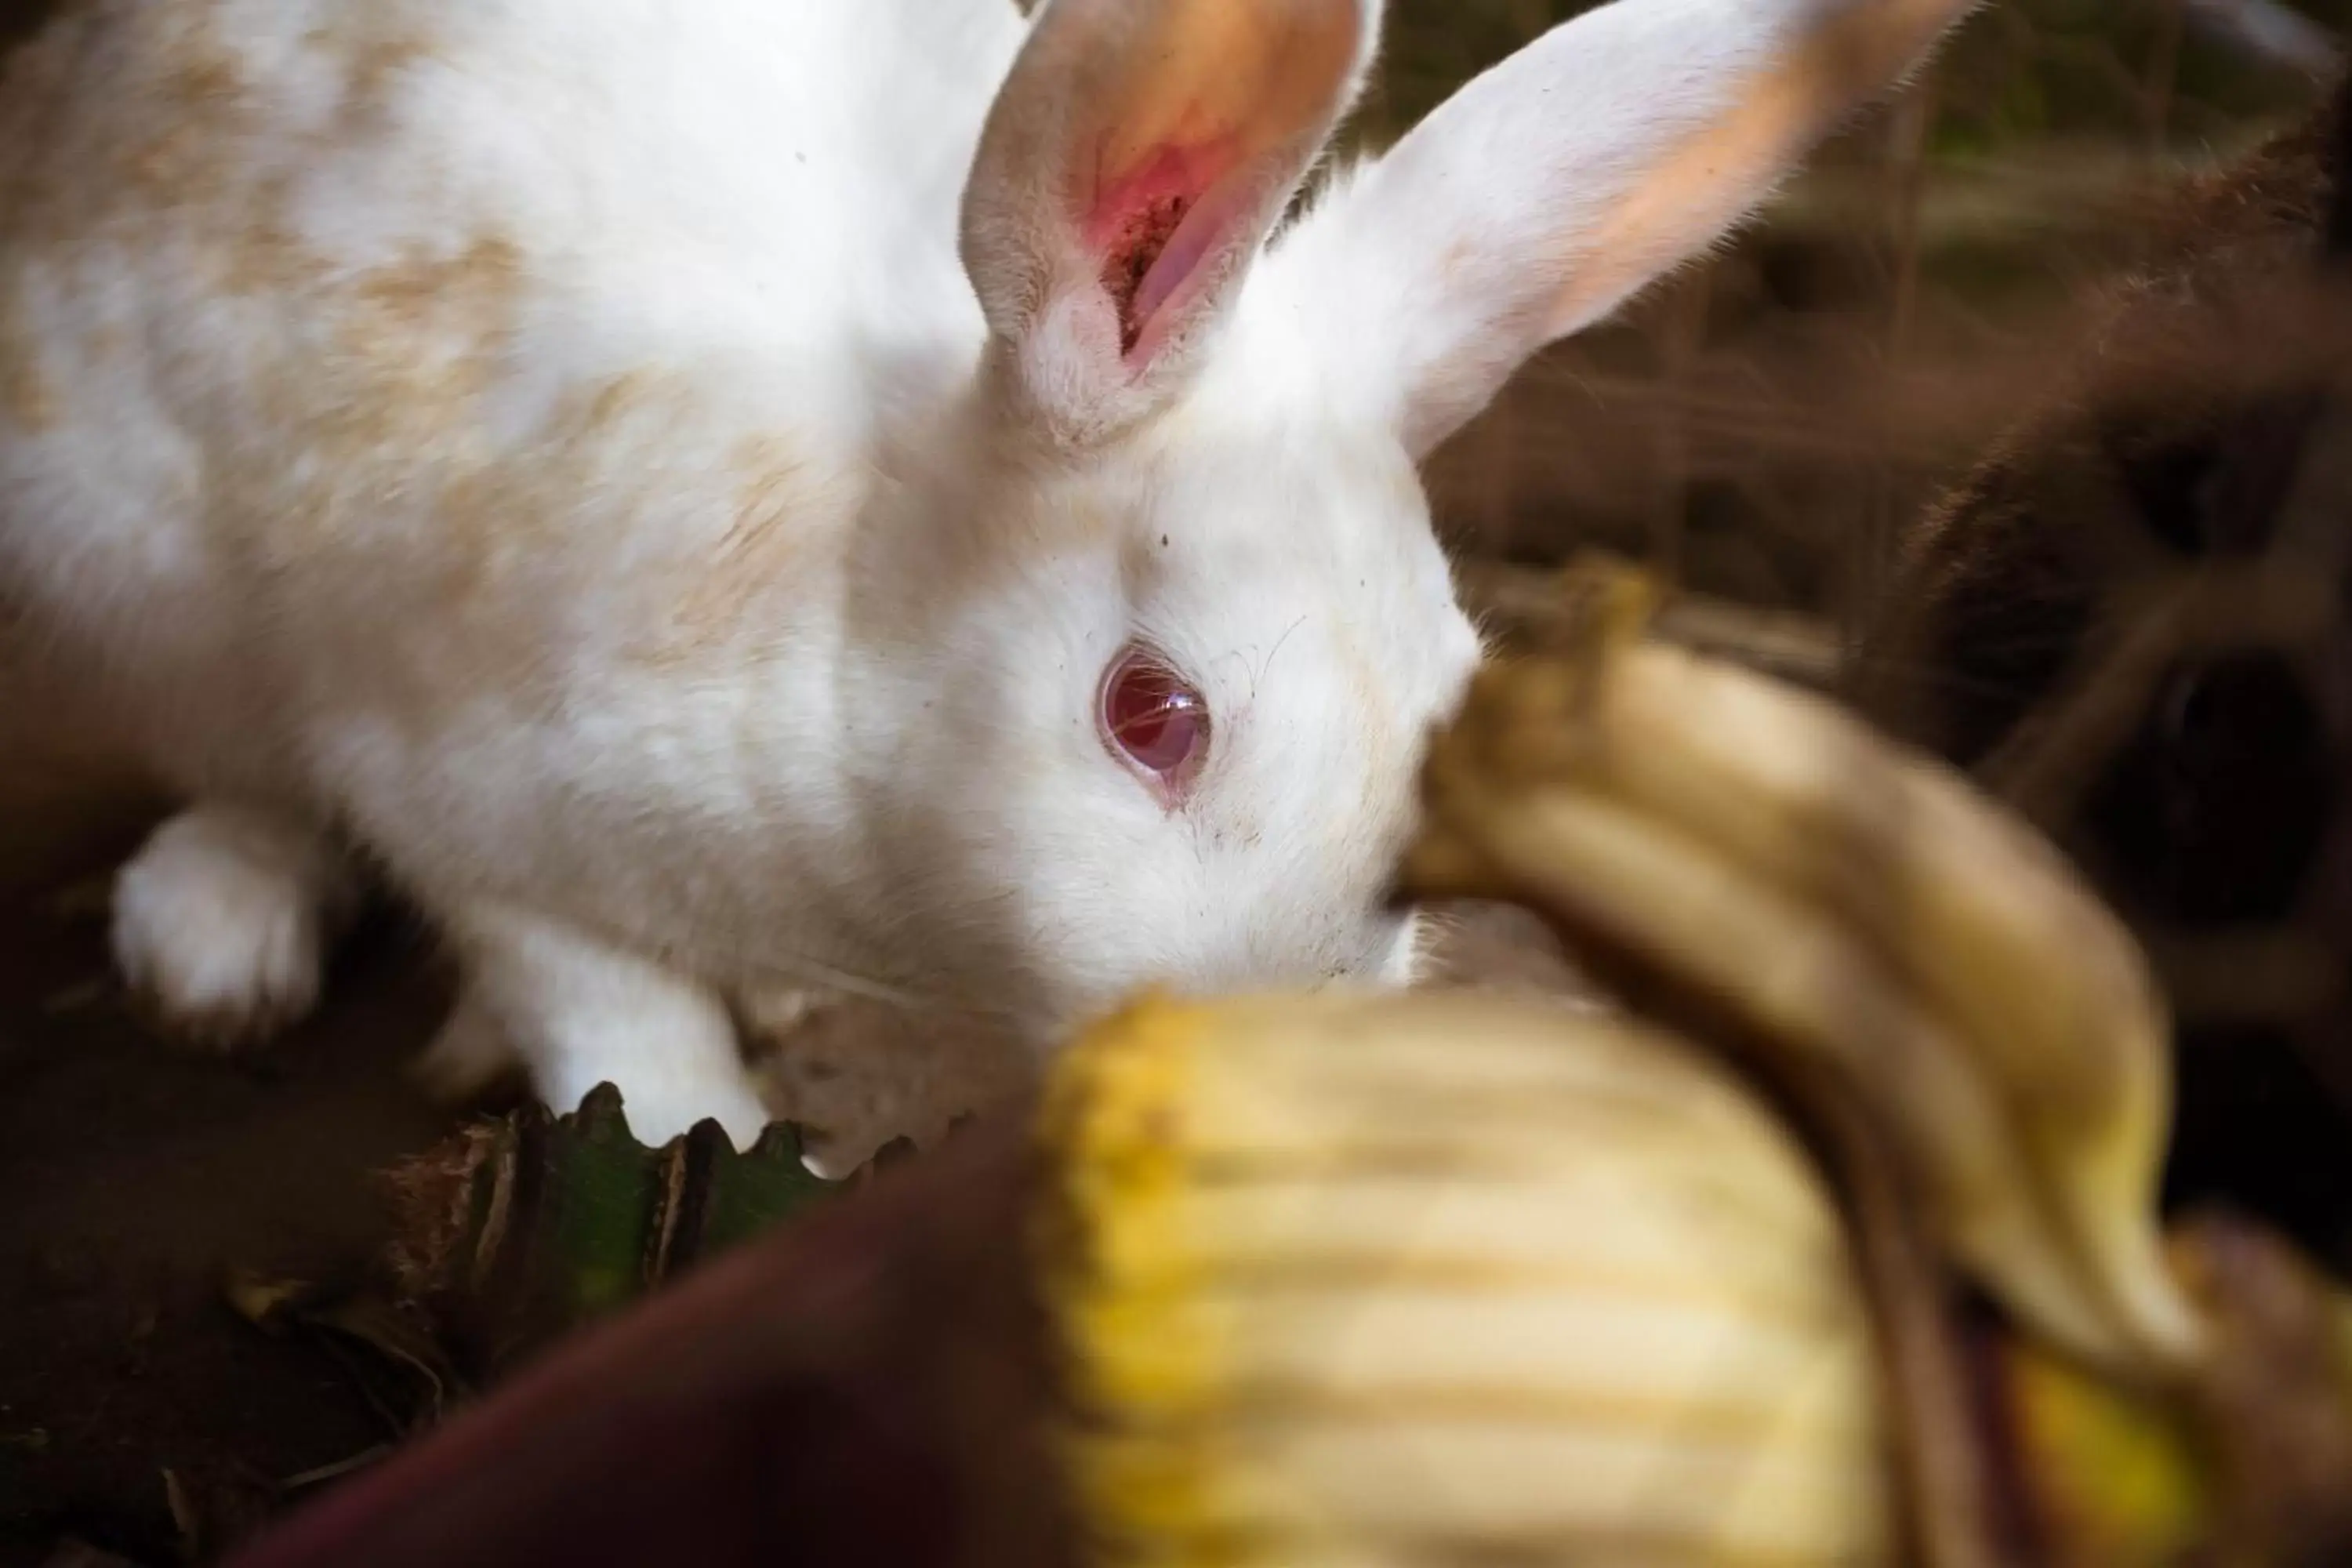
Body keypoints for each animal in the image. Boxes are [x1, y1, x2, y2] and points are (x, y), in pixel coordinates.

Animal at [0, 0, 1985, 1166]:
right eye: (1149, 716)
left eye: (1450, 719)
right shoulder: (472, 788)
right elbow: (616, 1039)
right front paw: (725, 1133)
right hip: (130, 579)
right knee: (237, 778)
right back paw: (217, 948)